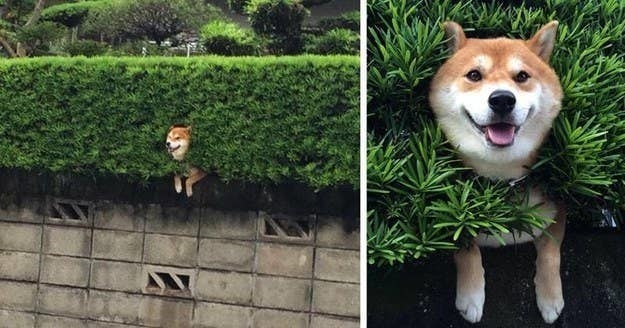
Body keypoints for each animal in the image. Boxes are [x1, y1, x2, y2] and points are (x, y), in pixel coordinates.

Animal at [428, 21, 564, 324]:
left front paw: (550, 299)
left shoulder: (557, 210)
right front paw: (470, 296)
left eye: (522, 76)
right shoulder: (449, 215)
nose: (502, 99)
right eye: (474, 75)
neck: (500, 179)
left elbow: (551, 254)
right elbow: (466, 248)